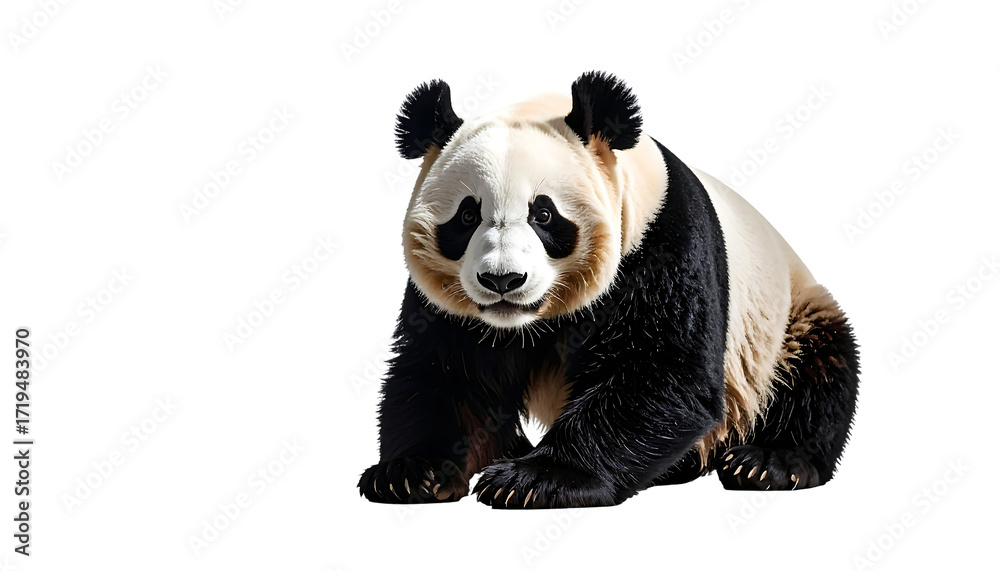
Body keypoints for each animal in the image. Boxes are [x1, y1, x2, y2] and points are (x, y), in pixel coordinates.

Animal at [358, 71, 859, 508]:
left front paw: (534, 479)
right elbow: (444, 373)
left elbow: (661, 372)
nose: (502, 281)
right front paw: (410, 472)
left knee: (816, 372)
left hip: (783, 319)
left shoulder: (659, 242)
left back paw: (768, 462)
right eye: (466, 215)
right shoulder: (451, 305)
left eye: (544, 214)